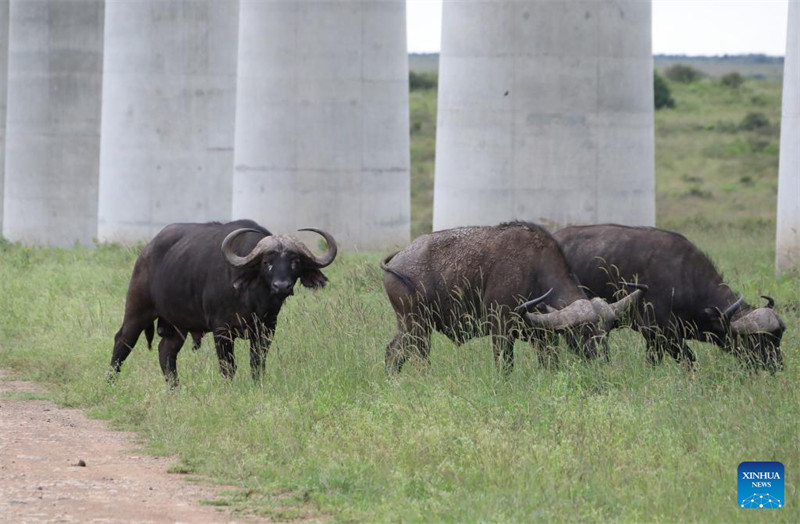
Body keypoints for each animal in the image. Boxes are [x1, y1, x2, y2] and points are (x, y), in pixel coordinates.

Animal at [107, 218, 338, 384]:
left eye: (295, 261)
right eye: (267, 262)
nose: (282, 286)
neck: (254, 300)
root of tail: (146, 250)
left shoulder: (266, 329)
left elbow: (257, 363)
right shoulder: (222, 330)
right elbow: (228, 366)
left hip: (178, 325)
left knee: (166, 351)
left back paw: (175, 389)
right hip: (138, 308)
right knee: (123, 340)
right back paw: (110, 383)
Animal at [380, 221, 644, 372]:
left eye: (606, 331)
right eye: (584, 331)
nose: (602, 359)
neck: (535, 272)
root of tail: (399, 258)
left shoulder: (545, 338)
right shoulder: (500, 330)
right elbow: (504, 367)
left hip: (408, 326)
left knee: (393, 352)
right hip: (417, 326)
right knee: (416, 357)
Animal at [552, 223, 784, 370]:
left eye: (777, 338)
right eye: (757, 339)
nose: (776, 365)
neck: (685, 278)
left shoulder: (658, 338)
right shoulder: (661, 332)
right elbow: (689, 360)